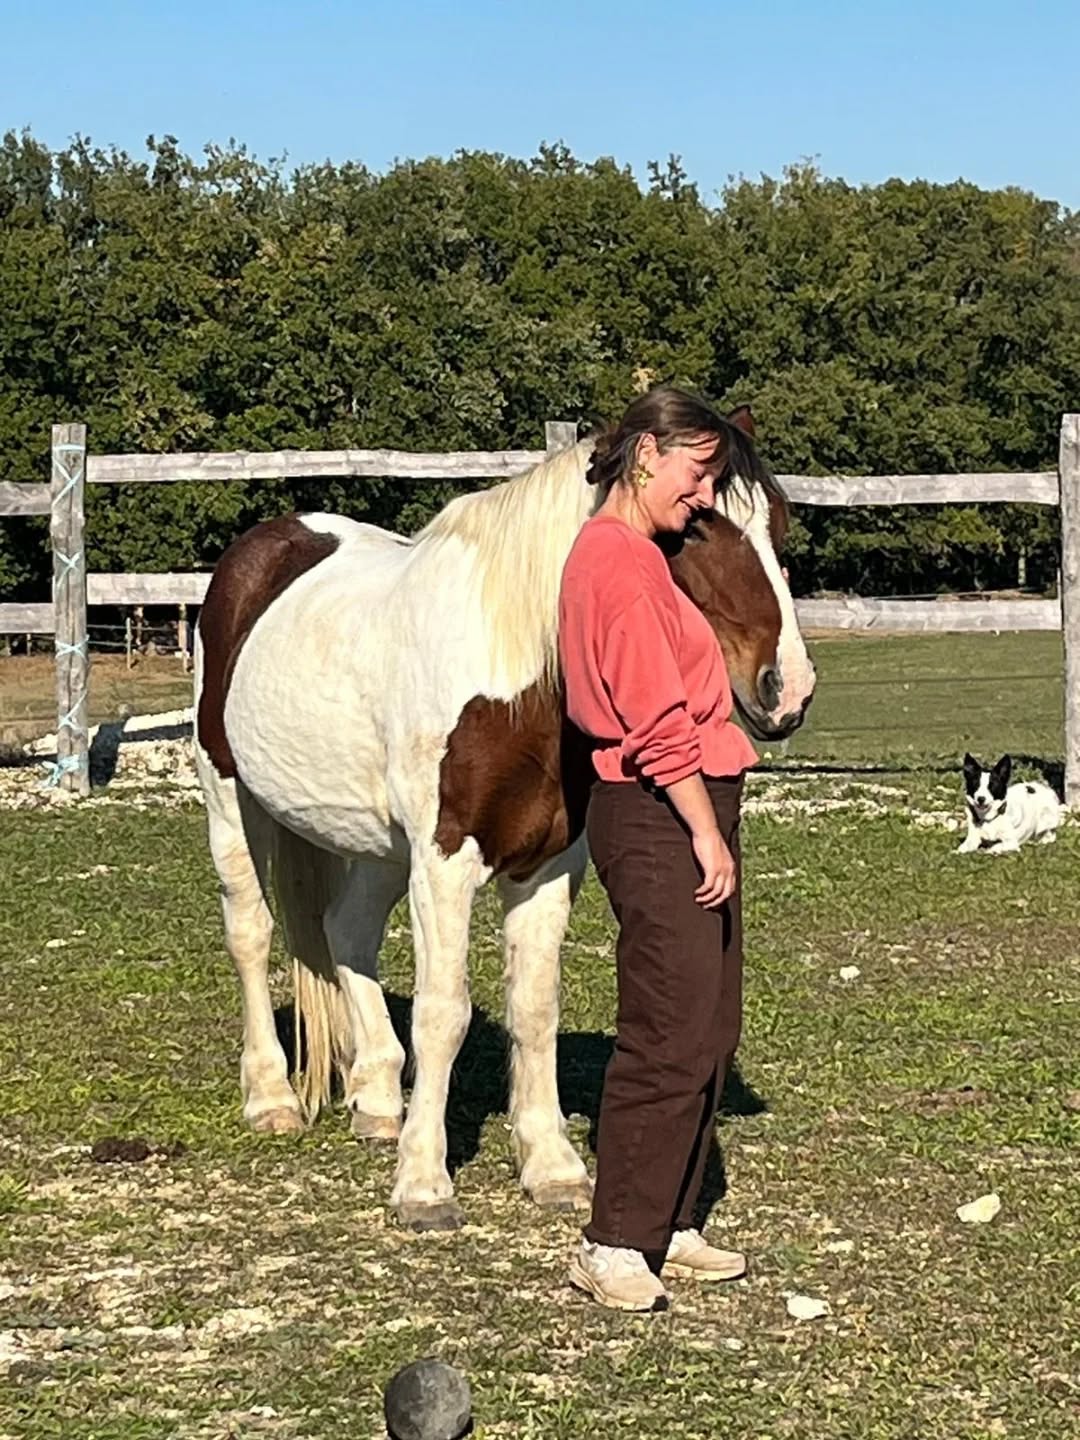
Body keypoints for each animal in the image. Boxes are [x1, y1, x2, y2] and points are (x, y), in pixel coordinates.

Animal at [191, 406, 816, 1231]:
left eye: (777, 523)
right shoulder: (445, 862)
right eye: (698, 523)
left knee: (345, 931)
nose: (788, 690)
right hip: (232, 799)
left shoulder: (548, 867)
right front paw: (424, 1185)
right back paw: (269, 1098)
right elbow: (444, 1012)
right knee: (251, 933)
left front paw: (551, 1166)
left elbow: (535, 1008)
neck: (514, 673)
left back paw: (378, 1095)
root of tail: (262, 549)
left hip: (381, 848)